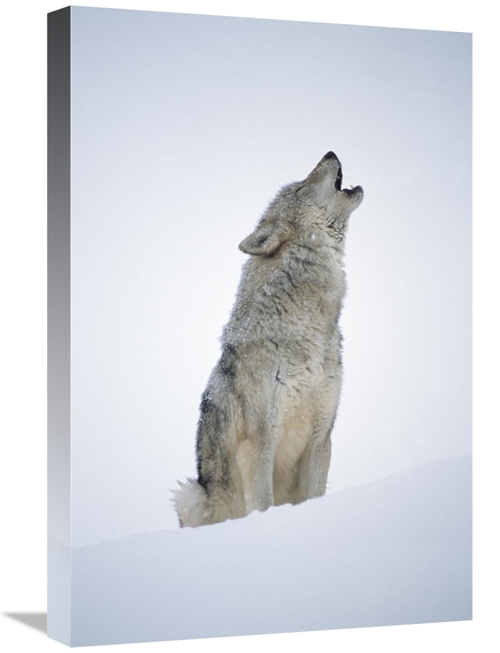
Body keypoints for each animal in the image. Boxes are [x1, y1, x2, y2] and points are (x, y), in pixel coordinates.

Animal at [173, 151, 363, 527]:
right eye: (301, 187)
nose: (330, 153)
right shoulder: (259, 441)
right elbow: (262, 502)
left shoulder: (321, 437)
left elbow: (315, 495)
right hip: (190, 494)